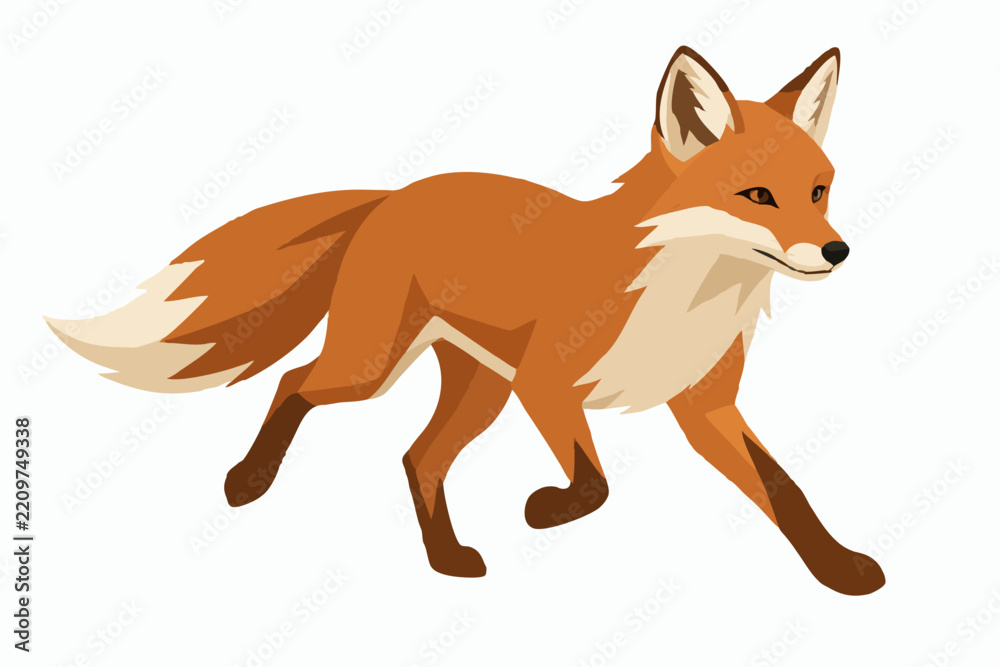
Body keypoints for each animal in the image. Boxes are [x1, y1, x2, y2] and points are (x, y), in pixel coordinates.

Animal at [46, 46, 885, 595]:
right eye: (758, 196)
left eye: (819, 189)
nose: (837, 250)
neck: (681, 298)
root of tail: (394, 193)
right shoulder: (548, 381)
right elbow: (595, 484)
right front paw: (545, 510)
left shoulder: (704, 406)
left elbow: (786, 492)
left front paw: (839, 569)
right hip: (379, 367)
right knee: (296, 382)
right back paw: (248, 481)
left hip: (478, 388)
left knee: (418, 457)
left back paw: (446, 560)